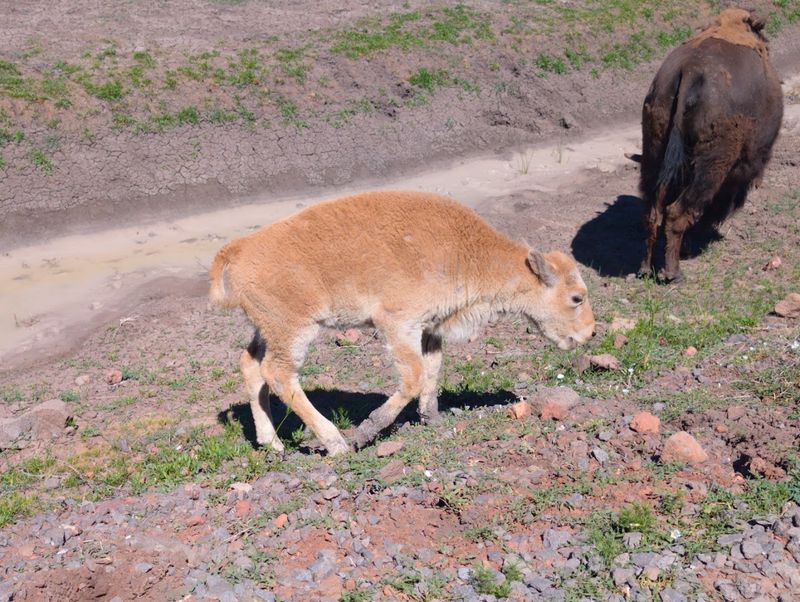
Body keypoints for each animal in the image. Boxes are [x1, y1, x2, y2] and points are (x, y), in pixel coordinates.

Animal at [639, 8, 783, 282]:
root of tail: (689, 71)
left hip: (654, 155)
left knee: (653, 212)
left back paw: (645, 269)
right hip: (710, 169)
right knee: (678, 211)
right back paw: (673, 273)